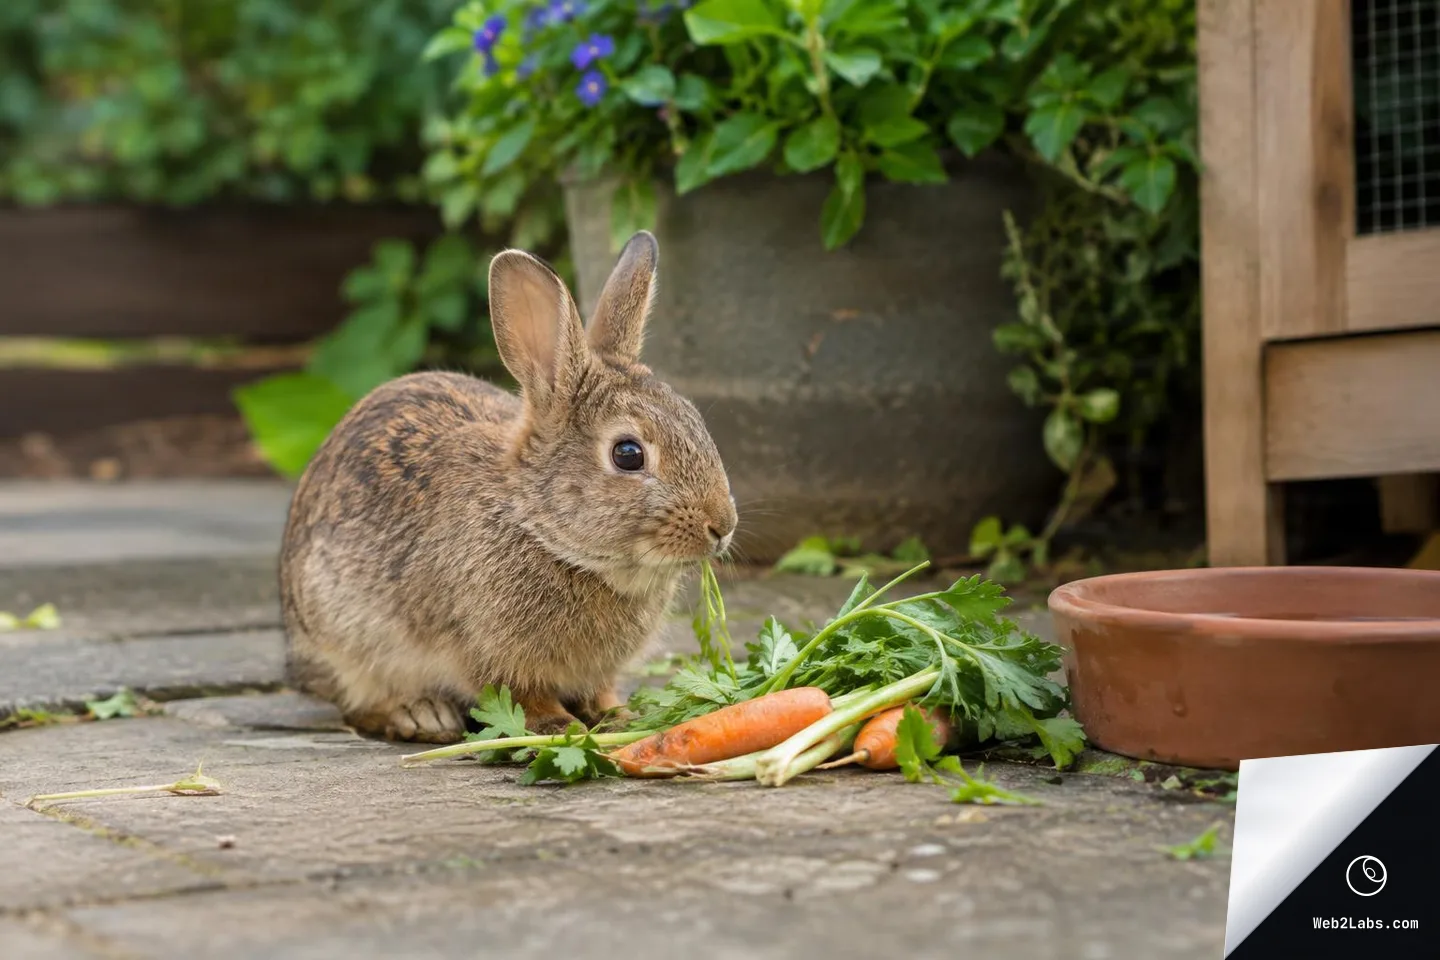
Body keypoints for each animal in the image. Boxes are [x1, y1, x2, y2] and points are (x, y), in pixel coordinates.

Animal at [278, 231, 737, 743]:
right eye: (627, 454)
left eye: (694, 419)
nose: (723, 526)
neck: (540, 526)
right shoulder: (485, 649)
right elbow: (519, 694)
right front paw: (556, 726)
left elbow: (600, 690)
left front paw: (619, 717)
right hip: (345, 642)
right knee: (358, 703)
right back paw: (421, 715)